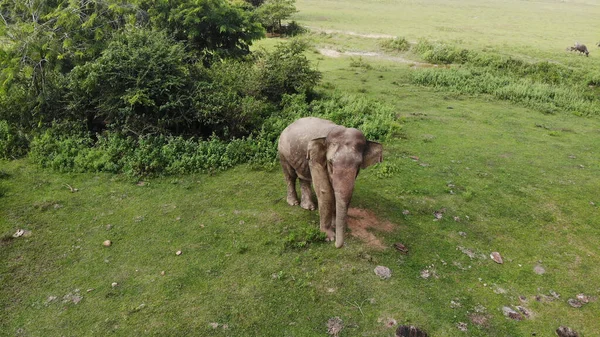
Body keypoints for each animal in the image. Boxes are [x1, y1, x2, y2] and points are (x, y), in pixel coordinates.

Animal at [278, 117, 382, 247]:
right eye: (331, 163)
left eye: (358, 165)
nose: (338, 245)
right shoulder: (315, 158)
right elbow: (325, 191)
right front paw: (329, 237)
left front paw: (335, 225)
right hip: (283, 151)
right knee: (290, 175)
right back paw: (293, 203)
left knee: (304, 177)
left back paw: (308, 207)